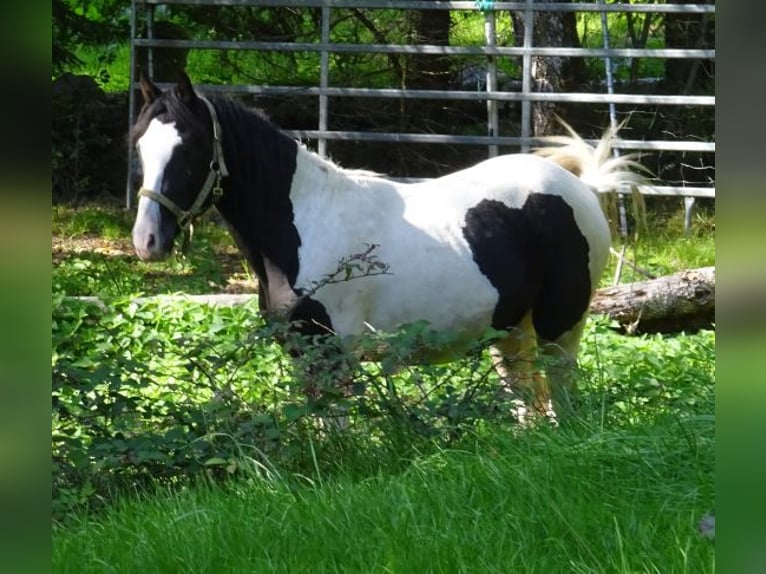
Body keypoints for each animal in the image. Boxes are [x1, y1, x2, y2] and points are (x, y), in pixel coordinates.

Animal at [130, 72, 647, 422]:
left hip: (561, 325)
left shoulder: (333, 353)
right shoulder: (303, 352)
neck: (302, 225)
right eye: (139, 147)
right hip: (512, 332)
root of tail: (580, 187)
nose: (147, 241)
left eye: (189, 149)